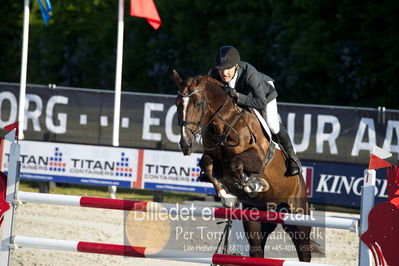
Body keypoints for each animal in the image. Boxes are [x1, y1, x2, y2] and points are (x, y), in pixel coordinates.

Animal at [173, 69, 314, 262]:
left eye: (198, 104)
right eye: (177, 103)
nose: (185, 144)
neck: (225, 124)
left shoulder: (257, 158)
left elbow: (236, 164)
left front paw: (253, 185)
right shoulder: (215, 160)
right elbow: (206, 163)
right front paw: (227, 195)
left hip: (298, 218)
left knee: (304, 251)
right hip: (255, 221)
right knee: (257, 249)